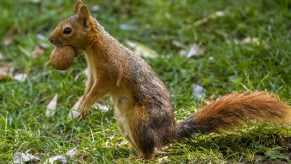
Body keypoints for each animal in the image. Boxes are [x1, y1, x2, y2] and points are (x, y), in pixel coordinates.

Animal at [48, 0, 291, 159]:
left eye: (67, 30)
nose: (50, 39)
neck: (94, 47)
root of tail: (168, 133)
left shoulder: (109, 69)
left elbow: (100, 88)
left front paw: (86, 105)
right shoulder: (92, 73)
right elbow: (89, 87)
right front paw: (80, 104)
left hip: (141, 119)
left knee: (150, 151)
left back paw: (136, 158)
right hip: (123, 121)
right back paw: (126, 151)